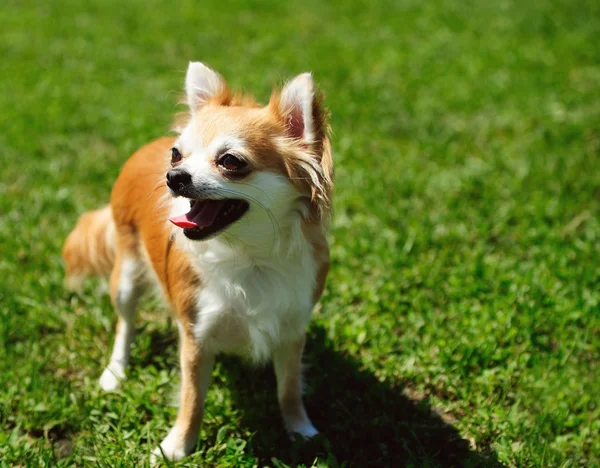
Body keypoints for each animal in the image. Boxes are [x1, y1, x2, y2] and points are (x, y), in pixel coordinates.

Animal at [62, 62, 332, 460]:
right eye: (177, 155)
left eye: (230, 161)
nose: (173, 175)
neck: (249, 256)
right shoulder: (196, 336)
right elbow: (192, 399)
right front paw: (175, 448)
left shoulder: (292, 329)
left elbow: (289, 388)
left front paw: (301, 430)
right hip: (125, 274)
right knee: (125, 324)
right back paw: (116, 371)